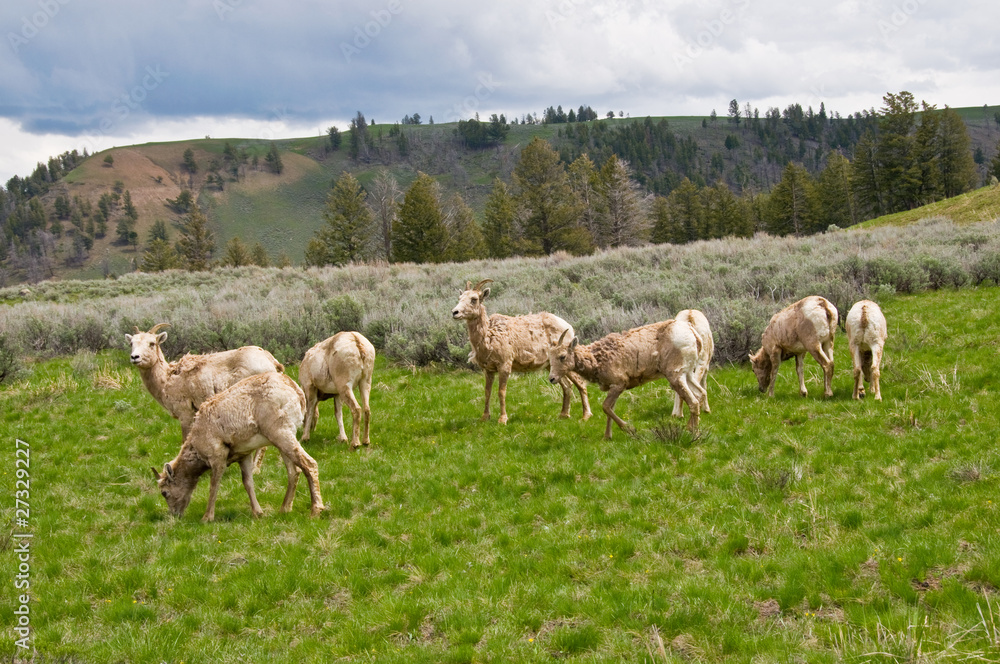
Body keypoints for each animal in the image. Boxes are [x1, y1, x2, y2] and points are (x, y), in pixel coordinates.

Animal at [125, 322, 284, 440]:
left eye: (152, 343)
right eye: (131, 343)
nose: (135, 357)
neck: (167, 379)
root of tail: (271, 361)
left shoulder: (185, 415)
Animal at [150, 370, 322, 520]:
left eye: (164, 492)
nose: (175, 514)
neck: (197, 447)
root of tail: (297, 392)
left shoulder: (218, 455)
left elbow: (214, 485)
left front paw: (207, 517)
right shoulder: (244, 455)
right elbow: (248, 483)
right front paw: (258, 513)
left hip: (281, 433)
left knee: (309, 464)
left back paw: (316, 510)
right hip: (283, 437)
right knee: (294, 471)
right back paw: (284, 509)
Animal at [450, 280, 588, 426]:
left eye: (474, 299)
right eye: (459, 298)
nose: (455, 312)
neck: (488, 336)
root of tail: (570, 328)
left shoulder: (505, 364)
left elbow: (501, 392)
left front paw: (502, 419)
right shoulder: (488, 369)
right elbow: (487, 392)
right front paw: (484, 417)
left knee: (580, 383)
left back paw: (585, 416)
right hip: (552, 366)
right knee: (567, 385)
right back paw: (563, 415)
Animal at [548, 320, 704, 438]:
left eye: (562, 356)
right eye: (550, 358)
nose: (552, 378)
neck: (597, 359)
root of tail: (693, 334)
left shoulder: (619, 384)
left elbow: (606, 407)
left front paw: (629, 429)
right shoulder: (614, 387)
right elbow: (610, 409)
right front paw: (607, 437)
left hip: (675, 375)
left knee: (693, 402)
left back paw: (695, 434)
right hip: (688, 374)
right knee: (700, 394)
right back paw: (690, 428)